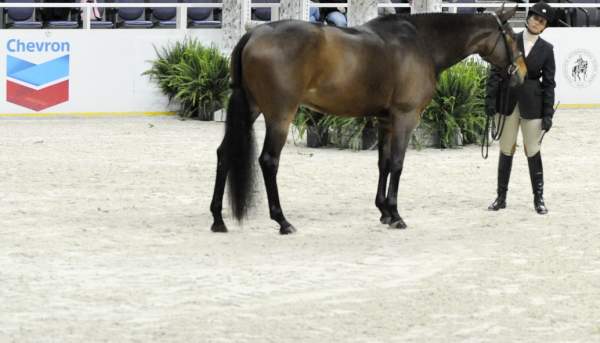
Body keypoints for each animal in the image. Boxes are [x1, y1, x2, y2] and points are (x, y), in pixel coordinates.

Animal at [210, 6, 524, 235]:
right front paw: (396, 215)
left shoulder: (386, 121)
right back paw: (282, 221)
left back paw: (218, 219)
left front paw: (383, 211)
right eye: (511, 36)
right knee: (269, 161)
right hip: (279, 116)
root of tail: (253, 35)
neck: (421, 43)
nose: (520, 71)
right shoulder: (405, 118)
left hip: (251, 108)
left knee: (225, 154)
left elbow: (383, 164)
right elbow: (397, 164)